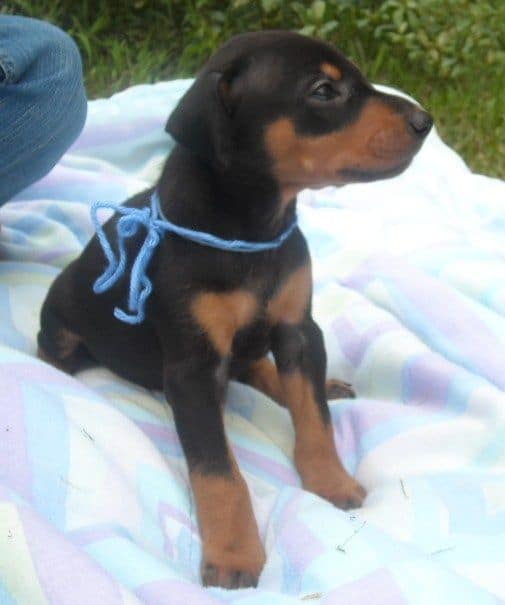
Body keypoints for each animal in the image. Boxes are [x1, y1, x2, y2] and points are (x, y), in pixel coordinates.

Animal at [38, 30, 434, 588]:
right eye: (323, 91)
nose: (425, 121)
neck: (253, 227)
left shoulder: (297, 329)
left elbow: (315, 417)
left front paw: (331, 479)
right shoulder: (193, 369)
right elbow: (217, 469)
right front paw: (233, 554)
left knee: (269, 372)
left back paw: (319, 385)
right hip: (64, 318)